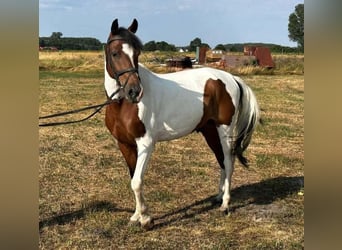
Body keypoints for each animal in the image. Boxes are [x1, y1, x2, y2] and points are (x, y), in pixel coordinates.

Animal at [103, 18, 260, 229]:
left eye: (136, 53)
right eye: (115, 53)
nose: (134, 91)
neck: (123, 104)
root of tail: (231, 78)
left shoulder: (146, 143)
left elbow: (136, 181)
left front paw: (146, 219)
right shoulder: (124, 144)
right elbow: (133, 177)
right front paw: (136, 215)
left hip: (224, 130)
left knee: (228, 161)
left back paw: (225, 204)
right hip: (210, 130)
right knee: (221, 161)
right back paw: (218, 197)